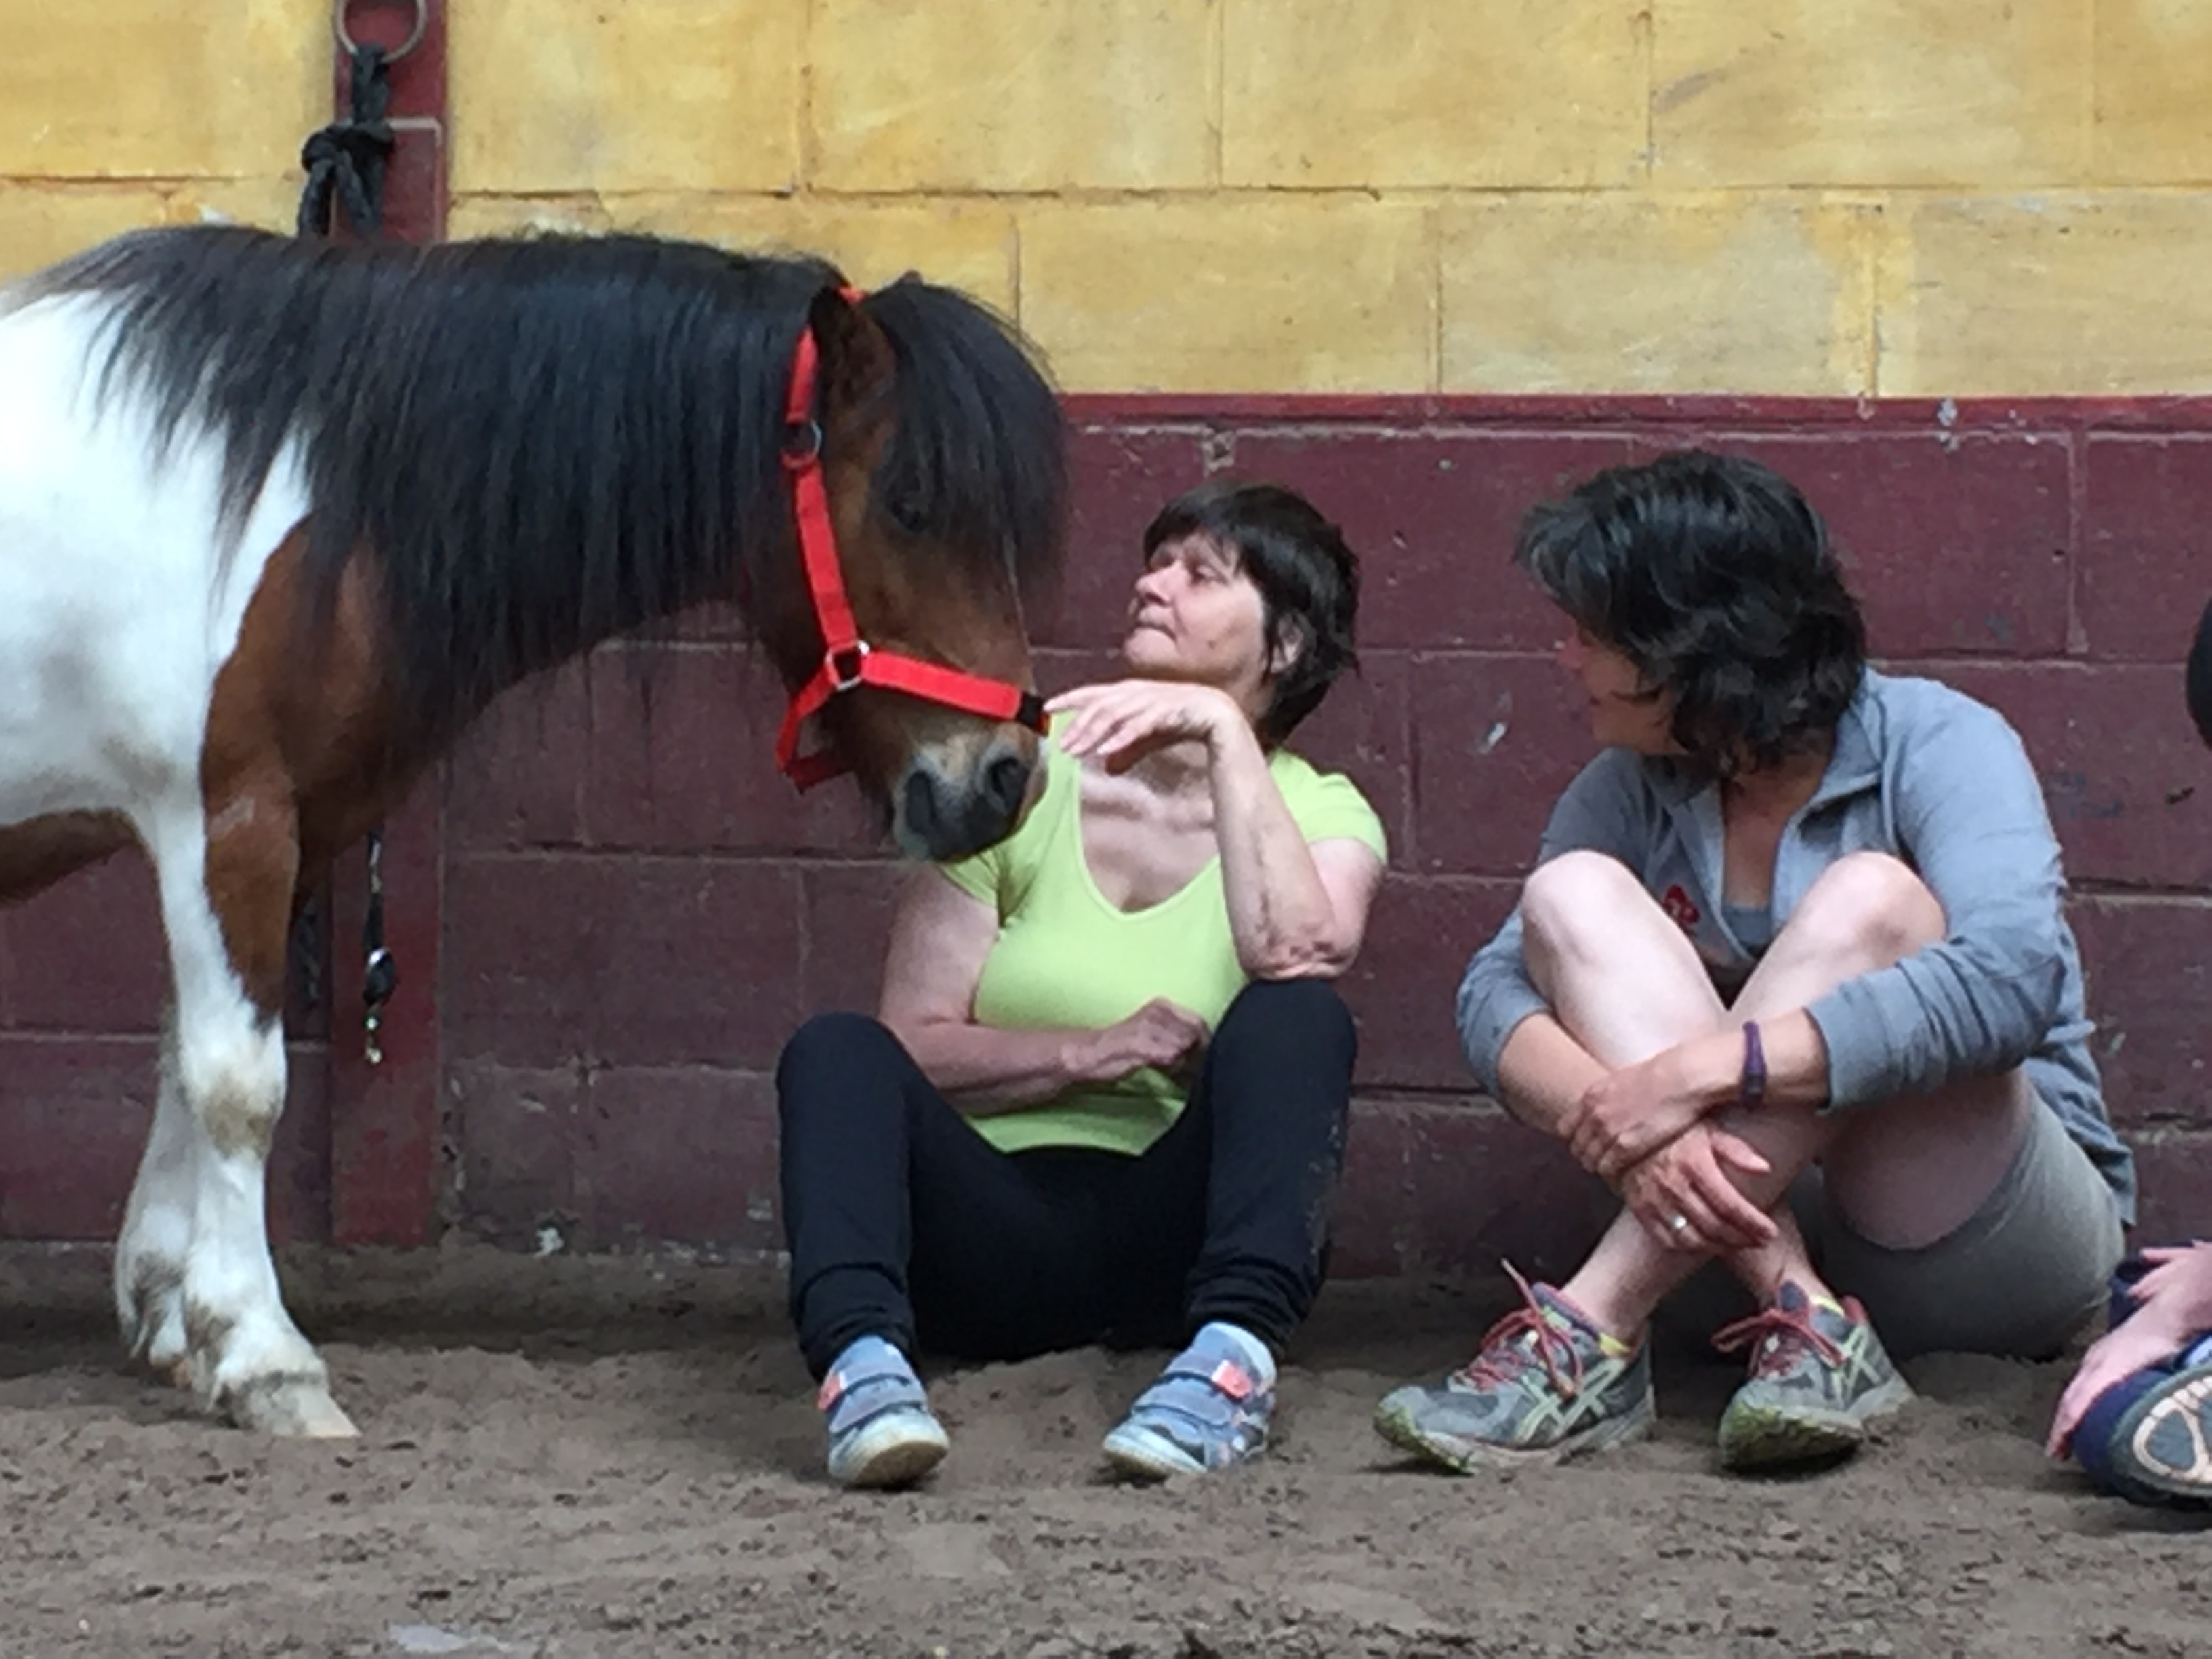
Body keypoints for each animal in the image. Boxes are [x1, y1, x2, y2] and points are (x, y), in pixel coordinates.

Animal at [0, 224, 1067, 1436]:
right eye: (910, 502)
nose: (1001, 779)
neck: (297, 490)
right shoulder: (227, 822)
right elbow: (239, 1084)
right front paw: (266, 1359)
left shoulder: (287, 837)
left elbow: (188, 1058)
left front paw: (176, 1322)